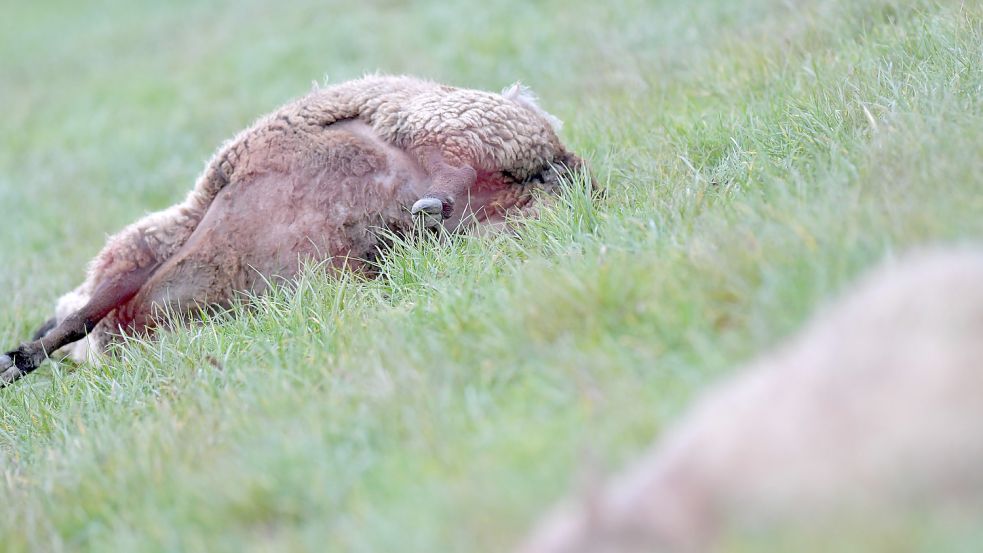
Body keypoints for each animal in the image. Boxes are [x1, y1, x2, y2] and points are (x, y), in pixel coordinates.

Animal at [1, 75, 586, 384]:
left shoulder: (138, 259)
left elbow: (74, 322)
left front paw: (19, 360)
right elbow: (76, 321)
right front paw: (21, 359)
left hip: (452, 131)